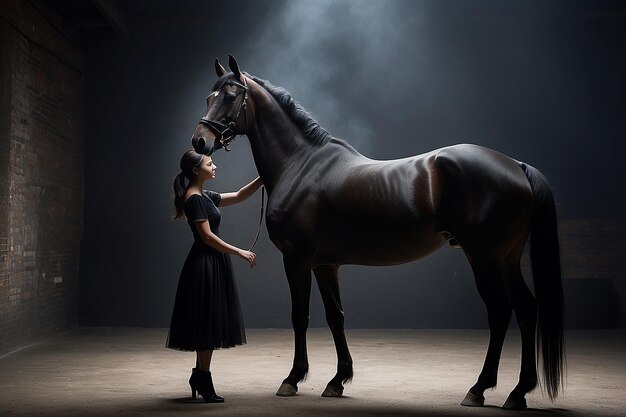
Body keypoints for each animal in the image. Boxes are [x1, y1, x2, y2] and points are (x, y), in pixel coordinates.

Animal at [188, 55, 564, 410]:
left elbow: (300, 316)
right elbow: (335, 316)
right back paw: (518, 392)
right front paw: (338, 380)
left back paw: (479, 389)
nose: (199, 141)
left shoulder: (297, 259)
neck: (301, 165)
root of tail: (516, 166)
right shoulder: (325, 265)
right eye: (208, 97)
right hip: (507, 258)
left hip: (483, 258)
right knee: (526, 309)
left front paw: (293, 379)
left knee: (500, 312)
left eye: (231, 96)